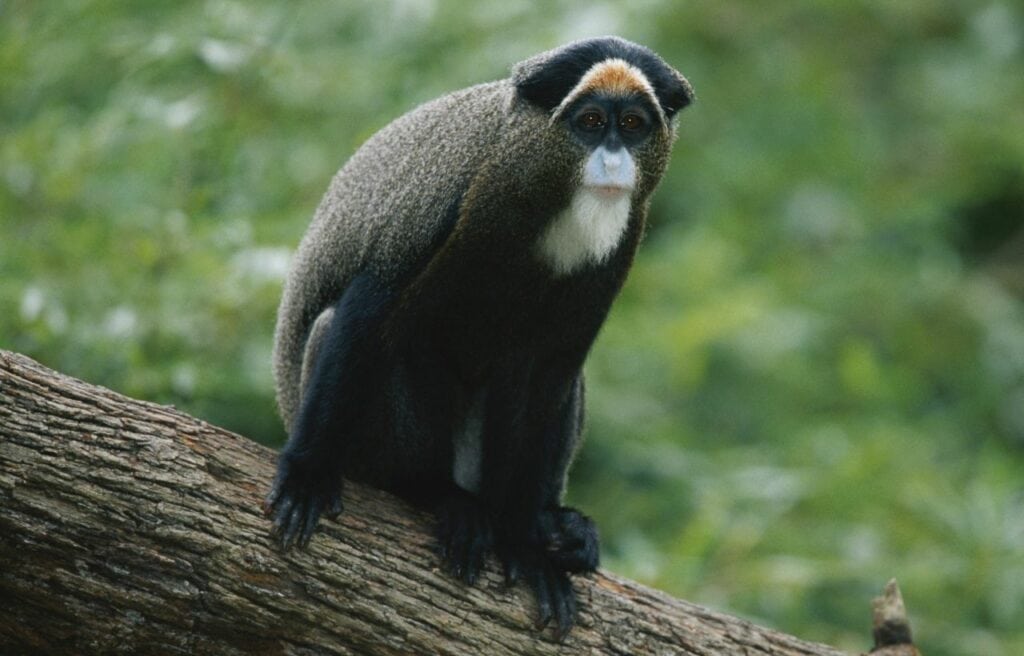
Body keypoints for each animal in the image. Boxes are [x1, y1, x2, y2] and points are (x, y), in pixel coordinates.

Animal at [264, 36, 693, 637]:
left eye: (632, 124)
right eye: (589, 122)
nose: (614, 161)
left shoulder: (624, 239)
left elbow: (551, 370)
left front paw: (527, 542)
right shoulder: (445, 199)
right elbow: (368, 313)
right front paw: (305, 473)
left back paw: (553, 525)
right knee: (345, 334)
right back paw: (437, 495)